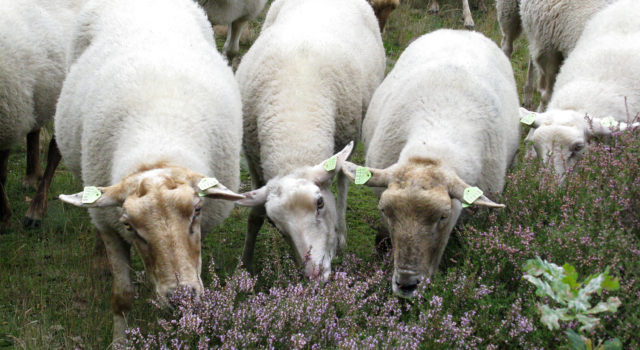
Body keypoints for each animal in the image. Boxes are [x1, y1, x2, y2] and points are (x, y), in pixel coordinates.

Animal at [0, 0, 84, 230]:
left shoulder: (9, 119)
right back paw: (32, 176)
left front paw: (4, 217)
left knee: (55, 150)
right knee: (34, 129)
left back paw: (36, 210)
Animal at [53, 0, 244, 340]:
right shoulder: (111, 226)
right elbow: (122, 295)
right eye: (129, 225)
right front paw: (120, 340)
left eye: (197, 211)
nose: (182, 297)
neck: (156, 146)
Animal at [235, 0, 384, 282]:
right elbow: (254, 215)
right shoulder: (253, 161)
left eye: (320, 203)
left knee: (342, 178)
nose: (314, 274)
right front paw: (245, 265)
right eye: (275, 224)